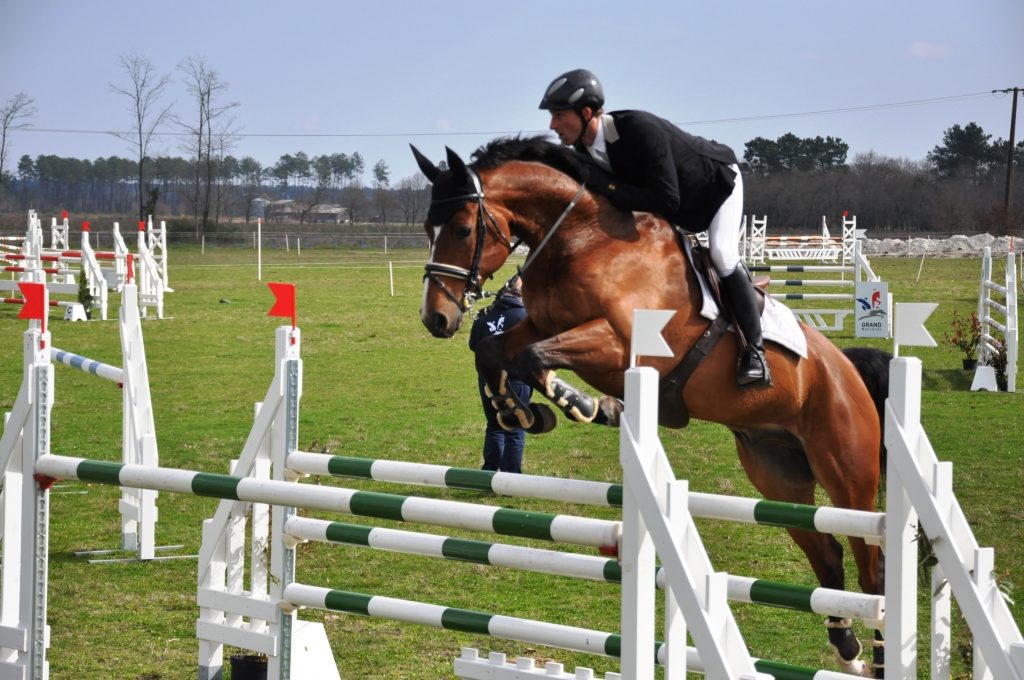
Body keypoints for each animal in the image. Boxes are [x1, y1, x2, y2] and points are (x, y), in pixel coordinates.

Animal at [413, 135, 888, 675]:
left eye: (462, 228)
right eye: (428, 229)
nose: (436, 317)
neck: (583, 237)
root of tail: (847, 370)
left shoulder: (620, 344)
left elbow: (534, 357)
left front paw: (586, 405)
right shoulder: (539, 323)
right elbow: (495, 351)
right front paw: (521, 411)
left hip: (848, 476)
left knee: (872, 568)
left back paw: (878, 656)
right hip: (778, 474)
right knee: (827, 555)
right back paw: (847, 649)